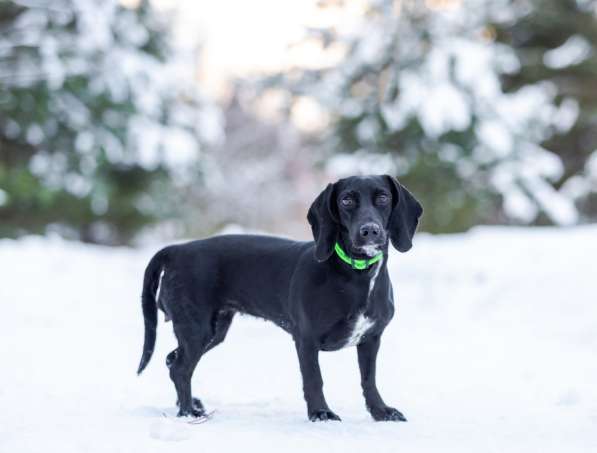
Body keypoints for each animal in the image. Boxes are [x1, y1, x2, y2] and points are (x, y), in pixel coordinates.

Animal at [137, 176, 422, 420]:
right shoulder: (306, 340)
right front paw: (321, 413)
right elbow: (314, 379)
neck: (356, 274)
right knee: (180, 368)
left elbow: (369, 379)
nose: (369, 231)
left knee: (172, 360)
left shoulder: (371, 339)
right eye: (346, 200)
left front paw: (381, 411)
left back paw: (190, 404)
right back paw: (187, 412)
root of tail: (176, 250)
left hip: (213, 331)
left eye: (383, 197)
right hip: (197, 328)